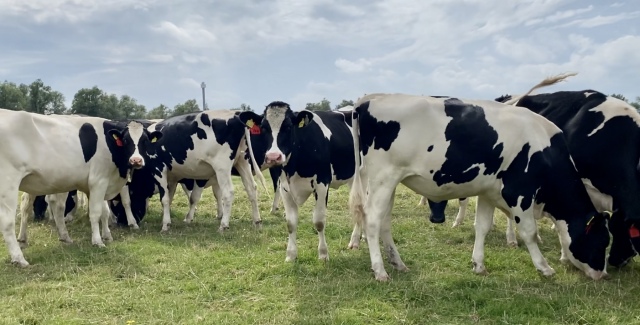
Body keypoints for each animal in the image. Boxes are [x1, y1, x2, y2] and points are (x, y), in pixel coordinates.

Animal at [0, 109, 160, 266]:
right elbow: (95, 213)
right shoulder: (98, 181)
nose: (136, 160)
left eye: (145, 141)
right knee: (7, 221)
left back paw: (31, 239)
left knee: (31, 206)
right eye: (126, 140)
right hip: (8, 184)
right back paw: (19, 258)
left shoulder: (98, 184)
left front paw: (107, 235)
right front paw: (97, 241)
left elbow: (104, 211)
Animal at [106, 110, 266, 232]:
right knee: (252, 188)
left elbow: (164, 199)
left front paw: (165, 225)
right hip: (242, 161)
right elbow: (170, 198)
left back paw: (224, 225)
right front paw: (168, 219)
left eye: (116, 204)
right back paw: (257, 221)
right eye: (125, 141)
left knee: (228, 193)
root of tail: (236, 114)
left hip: (222, 166)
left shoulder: (159, 170)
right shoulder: (173, 177)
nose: (121, 222)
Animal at [235, 102, 356, 262]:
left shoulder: (322, 183)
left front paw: (323, 254)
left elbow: (319, 221)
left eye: (288, 127)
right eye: (264, 128)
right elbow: (290, 223)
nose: (273, 157)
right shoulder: (285, 188)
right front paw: (291, 255)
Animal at [348, 86, 612, 280]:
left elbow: (482, 226)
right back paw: (380, 271)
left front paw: (478, 264)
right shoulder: (520, 192)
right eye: (602, 241)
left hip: (388, 181)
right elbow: (529, 232)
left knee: (384, 222)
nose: (602, 274)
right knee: (372, 221)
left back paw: (398, 263)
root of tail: (371, 98)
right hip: (383, 177)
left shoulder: (488, 192)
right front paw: (544, 267)